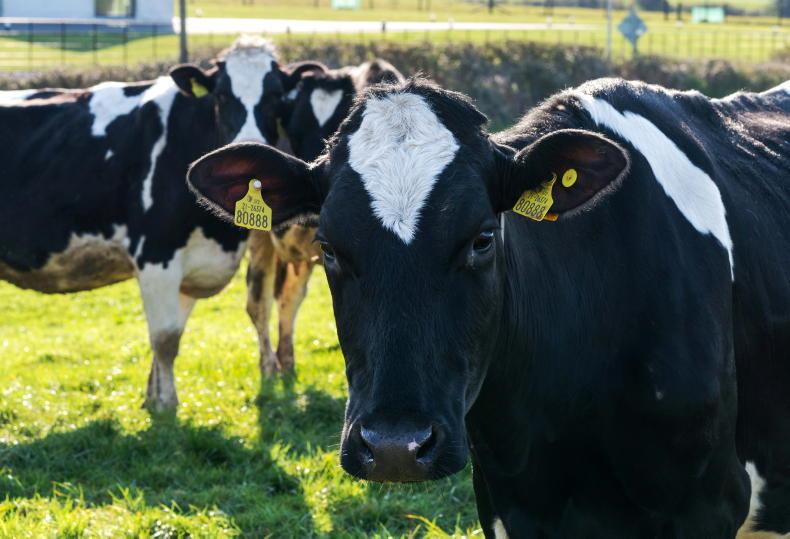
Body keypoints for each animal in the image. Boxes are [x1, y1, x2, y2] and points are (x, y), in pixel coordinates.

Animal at [0, 36, 320, 413]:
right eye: (221, 95)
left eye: (277, 96)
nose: (251, 142)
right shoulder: (156, 254)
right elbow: (165, 337)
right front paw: (166, 404)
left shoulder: (192, 264)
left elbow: (171, 335)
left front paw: (152, 397)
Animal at [245, 59, 404, 374]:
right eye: (295, 132)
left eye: (339, 127)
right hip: (260, 238)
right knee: (259, 301)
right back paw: (269, 367)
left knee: (288, 297)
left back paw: (287, 362)